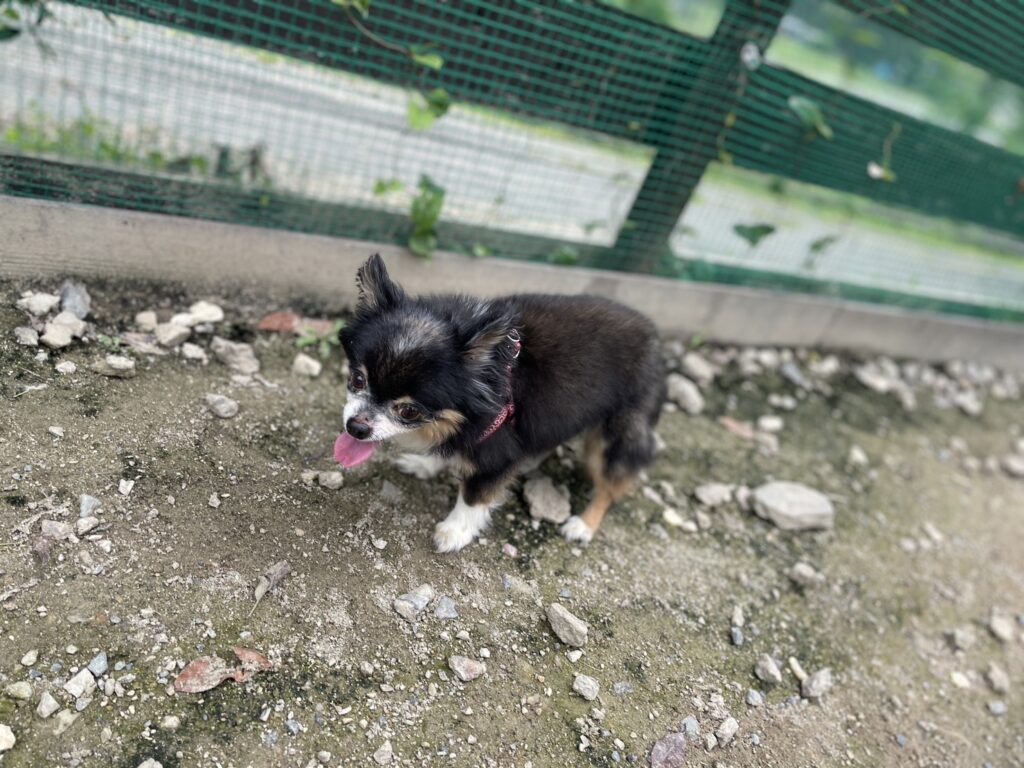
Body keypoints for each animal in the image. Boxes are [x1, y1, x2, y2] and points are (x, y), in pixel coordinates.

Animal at [335, 254, 665, 553]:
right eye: (358, 379)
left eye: (409, 410)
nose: (356, 427)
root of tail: (655, 338)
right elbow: (449, 448)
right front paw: (426, 464)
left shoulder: (495, 447)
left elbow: (474, 495)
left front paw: (454, 532)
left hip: (616, 433)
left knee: (609, 485)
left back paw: (584, 525)